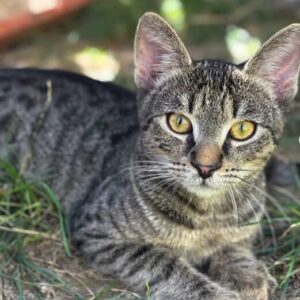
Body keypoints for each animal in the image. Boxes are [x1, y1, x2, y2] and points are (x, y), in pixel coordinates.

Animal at [0, 11, 300, 300]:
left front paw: (247, 275)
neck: (208, 217)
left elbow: (236, 245)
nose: (205, 166)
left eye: (242, 129)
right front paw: (218, 293)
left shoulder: (242, 228)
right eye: (178, 122)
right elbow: (165, 264)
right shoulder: (98, 230)